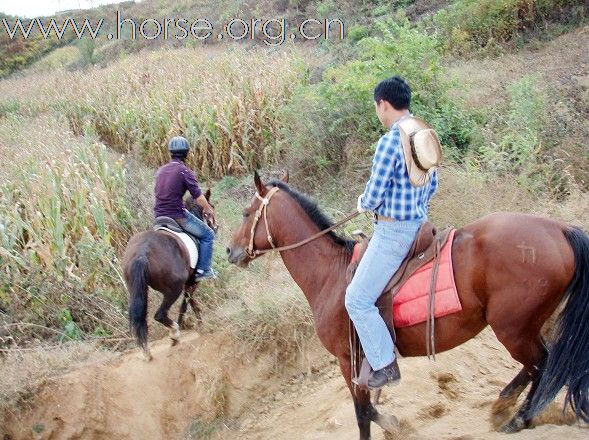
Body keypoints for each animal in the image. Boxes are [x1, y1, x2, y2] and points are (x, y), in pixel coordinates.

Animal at [123, 191, 216, 360]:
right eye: (211, 208)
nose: (215, 226)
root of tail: (142, 254)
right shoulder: (191, 282)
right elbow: (188, 301)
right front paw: (193, 323)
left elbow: (190, 301)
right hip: (173, 289)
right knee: (160, 314)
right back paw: (175, 334)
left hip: (137, 289)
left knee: (140, 319)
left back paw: (146, 351)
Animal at [226, 173, 588, 440]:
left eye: (245, 213)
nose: (230, 250)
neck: (330, 274)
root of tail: (560, 229)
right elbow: (370, 410)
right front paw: (395, 425)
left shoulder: (347, 360)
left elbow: (363, 413)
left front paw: (390, 426)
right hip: (523, 328)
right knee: (539, 365)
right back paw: (506, 406)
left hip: (512, 329)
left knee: (543, 364)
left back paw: (518, 417)